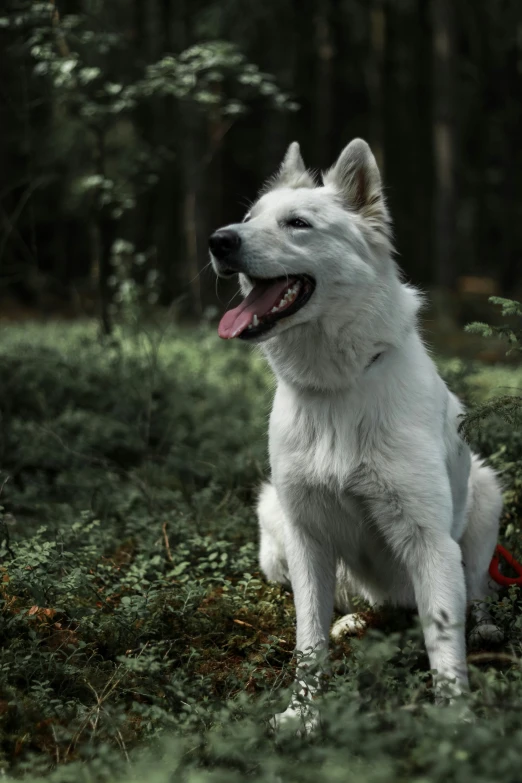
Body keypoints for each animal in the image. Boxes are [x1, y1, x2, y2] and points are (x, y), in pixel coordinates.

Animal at [209, 136, 502, 728]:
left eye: (298, 223)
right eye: (248, 219)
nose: (219, 241)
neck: (338, 387)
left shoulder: (430, 541)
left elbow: (444, 640)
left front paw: (456, 726)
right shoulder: (307, 541)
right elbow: (308, 640)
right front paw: (302, 714)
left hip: (487, 495)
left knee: (477, 588)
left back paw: (484, 626)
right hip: (273, 528)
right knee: (353, 609)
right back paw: (350, 624)